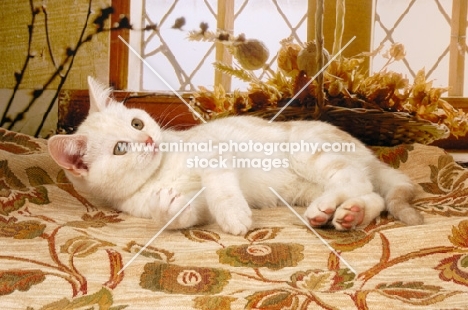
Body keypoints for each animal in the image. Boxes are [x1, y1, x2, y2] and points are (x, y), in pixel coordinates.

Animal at [47, 77, 424, 235]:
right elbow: (182, 213)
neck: (161, 171)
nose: (149, 139)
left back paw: (329, 208)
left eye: (136, 122)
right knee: (373, 195)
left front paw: (234, 215)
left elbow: (221, 184)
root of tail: (368, 152)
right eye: (121, 148)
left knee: (353, 179)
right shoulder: (168, 204)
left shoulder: (214, 149)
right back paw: (348, 214)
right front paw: (167, 208)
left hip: (307, 150)